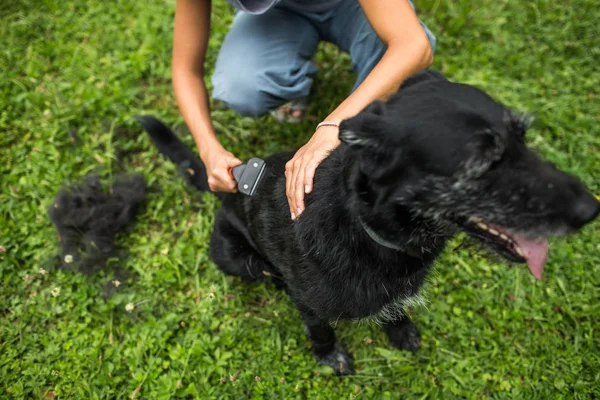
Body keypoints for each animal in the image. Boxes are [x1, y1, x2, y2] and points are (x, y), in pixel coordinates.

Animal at [137, 71, 600, 376]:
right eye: (483, 164)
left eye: (523, 137)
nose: (591, 209)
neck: (369, 231)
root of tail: (231, 184)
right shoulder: (311, 304)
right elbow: (320, 328)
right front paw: (330, 356)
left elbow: (393, 309)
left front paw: (400, 330)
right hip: (236, 259)